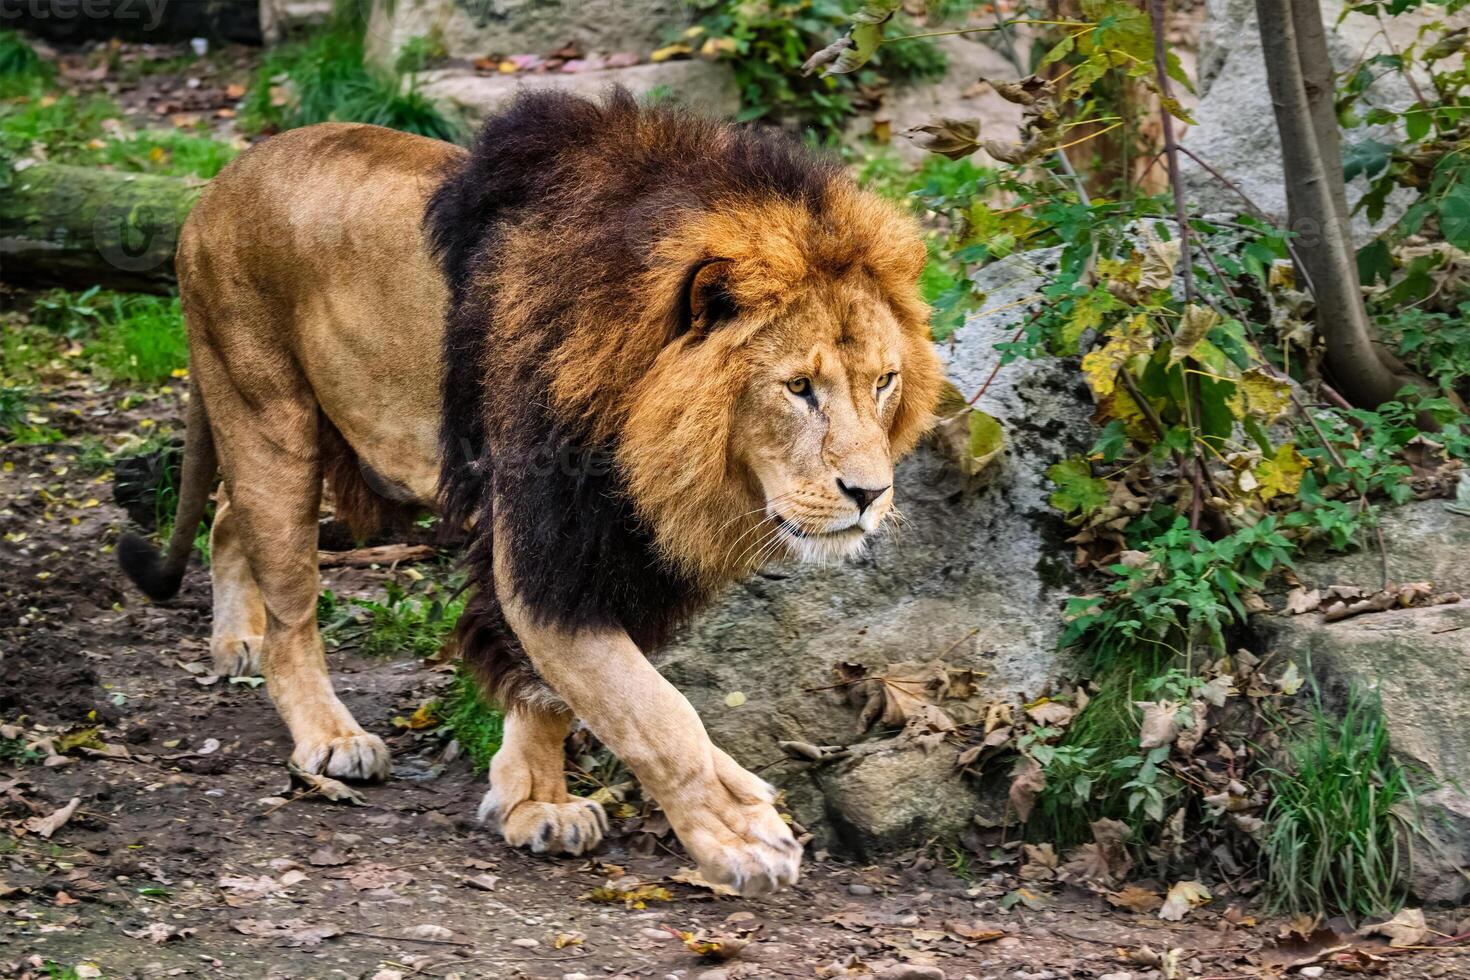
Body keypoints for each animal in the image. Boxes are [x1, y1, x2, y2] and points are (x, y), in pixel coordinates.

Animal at [114, 91, 940, 899]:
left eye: (883, 381)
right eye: (798, 388)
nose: (869, 494)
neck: (651, 439)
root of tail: (222, 180)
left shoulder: (603, 559)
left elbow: (560, 692)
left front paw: (534, 802)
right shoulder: (542, 547)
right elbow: (656, 714)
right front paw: (740, 834)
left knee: (228, 517)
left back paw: (237, 640)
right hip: (268, 414)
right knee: (291, 608)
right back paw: (327, 732)